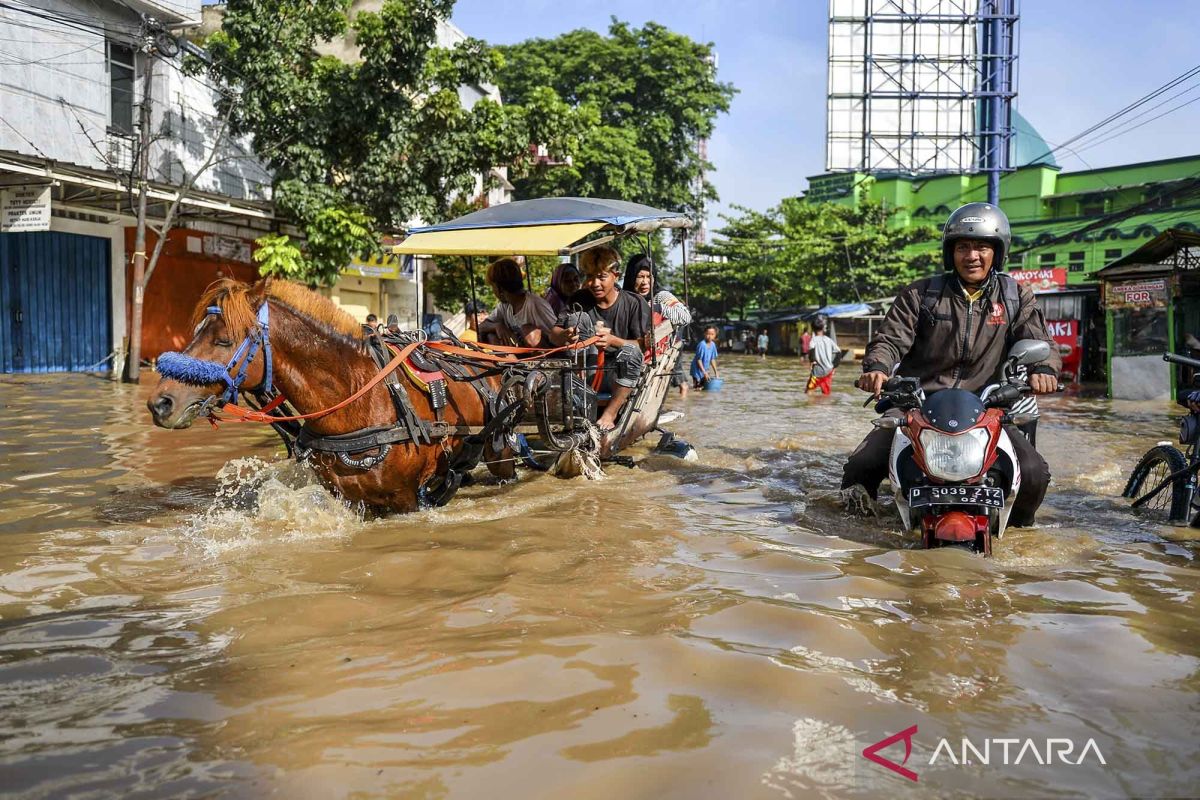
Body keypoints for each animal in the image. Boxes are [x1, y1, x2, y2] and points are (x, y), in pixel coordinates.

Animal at [145, 278, 511, 513]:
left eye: (224, 340)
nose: (160, 403)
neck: (359, 395)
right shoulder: (349, 498)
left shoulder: (406, 499)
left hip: (502, 452)